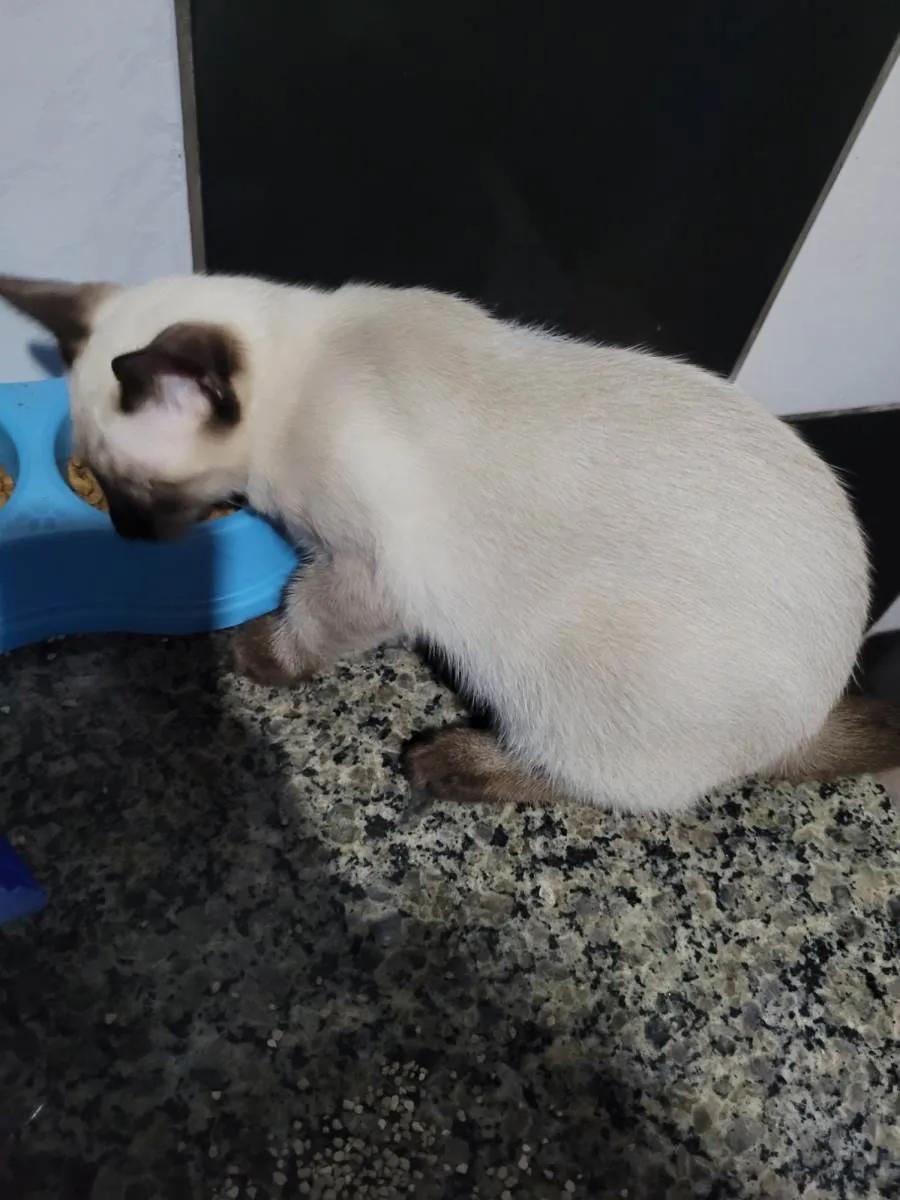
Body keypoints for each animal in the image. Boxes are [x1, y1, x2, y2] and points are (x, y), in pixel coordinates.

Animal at [2, 271, 899, 812]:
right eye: (95, 478)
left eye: (137, 490)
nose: (125, 531)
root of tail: (813, 709)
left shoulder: (366, 573)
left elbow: (305, 617)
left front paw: (254, 656)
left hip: (561, 669)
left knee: (598, 782)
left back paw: (444, 761)